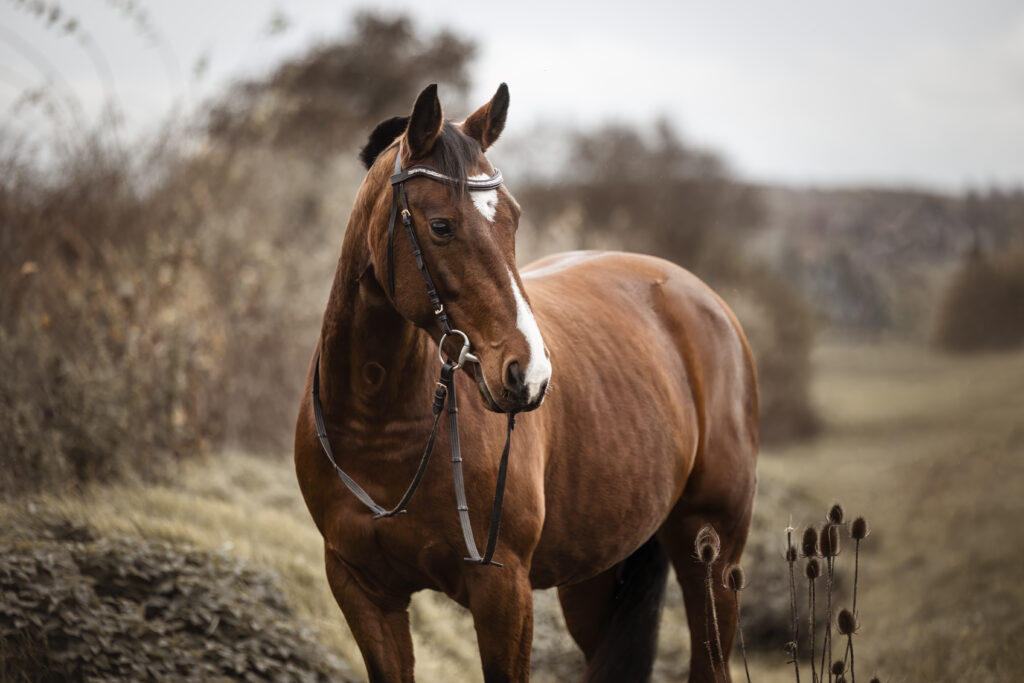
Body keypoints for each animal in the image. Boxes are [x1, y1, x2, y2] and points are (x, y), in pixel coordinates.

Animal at [292, 82, 757, 679]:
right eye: (440, 225)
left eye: (513, 219)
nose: (530, 375)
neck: (381, 428)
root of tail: (702, 299)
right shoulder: (363, 591)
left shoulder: (504, 591)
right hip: (595, 578)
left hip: (713, 557)